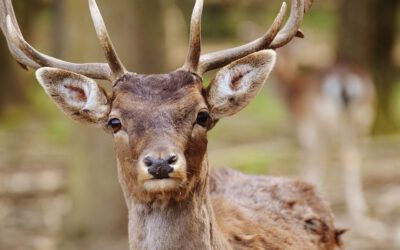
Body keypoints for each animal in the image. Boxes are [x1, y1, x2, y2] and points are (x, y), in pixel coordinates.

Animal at [276, 49, 376, 228]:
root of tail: (345, 79)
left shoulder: (308, 127)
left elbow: (311, 159)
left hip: (331, 119)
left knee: (338, 155)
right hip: (364, 118)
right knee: (354, 155)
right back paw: (360, 210)